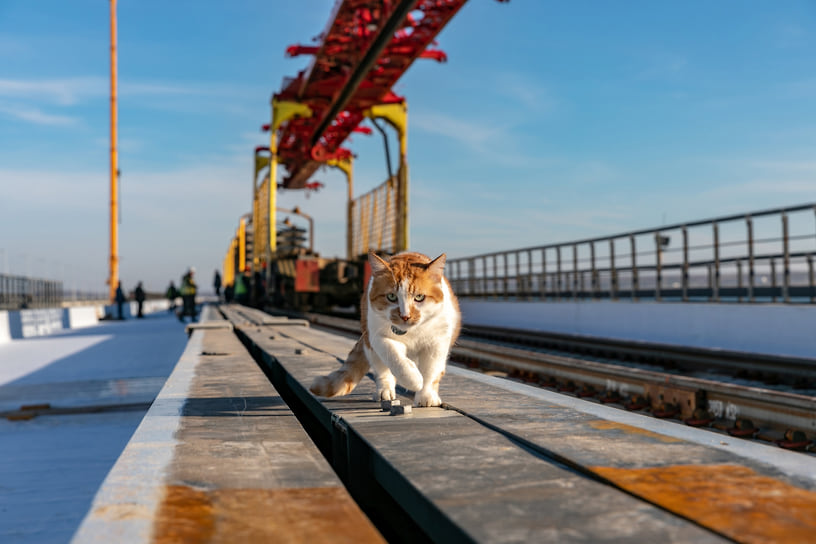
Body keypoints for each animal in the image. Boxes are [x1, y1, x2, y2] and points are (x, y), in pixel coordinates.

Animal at [308, 250, 460, 404]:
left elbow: (430, 371)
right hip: (370, 345)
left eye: (419, 297)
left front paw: (426, 396)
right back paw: (385, 391)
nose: (405, 316)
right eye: (391, 297)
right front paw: (413, 379)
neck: (411, 332)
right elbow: (394, 357)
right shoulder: (376, 335)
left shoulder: (437, 341)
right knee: (382, 371)